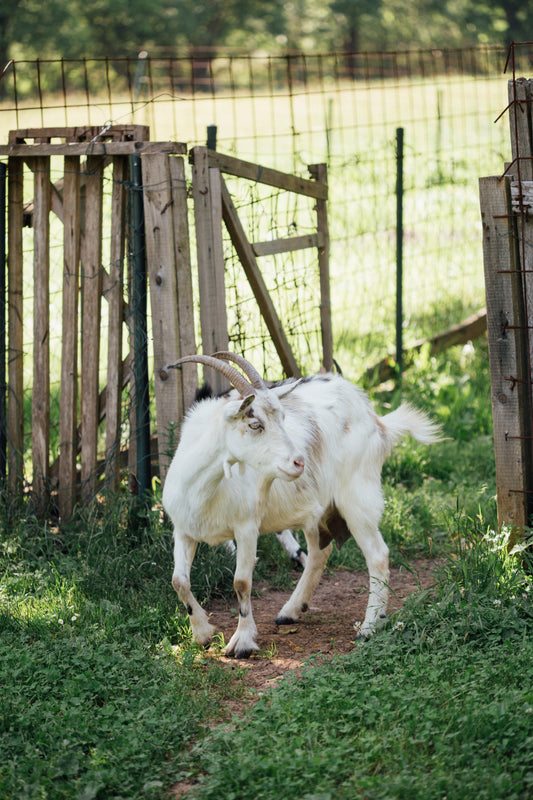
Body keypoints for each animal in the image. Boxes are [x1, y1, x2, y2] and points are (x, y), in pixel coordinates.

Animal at [162, 352, 442, 658]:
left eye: (283, 417)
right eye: (255, 424)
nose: (299, 462)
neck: (206, 487)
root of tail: (376, 418)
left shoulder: (246, 528)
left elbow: (241, 582)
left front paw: (242, 643)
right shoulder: (184, 530)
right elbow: (179, 581)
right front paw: (202, 633)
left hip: (357, 497)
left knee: (377, 555)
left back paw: (368, 628)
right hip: (316, 510)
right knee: (320, 552)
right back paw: (290, 611)